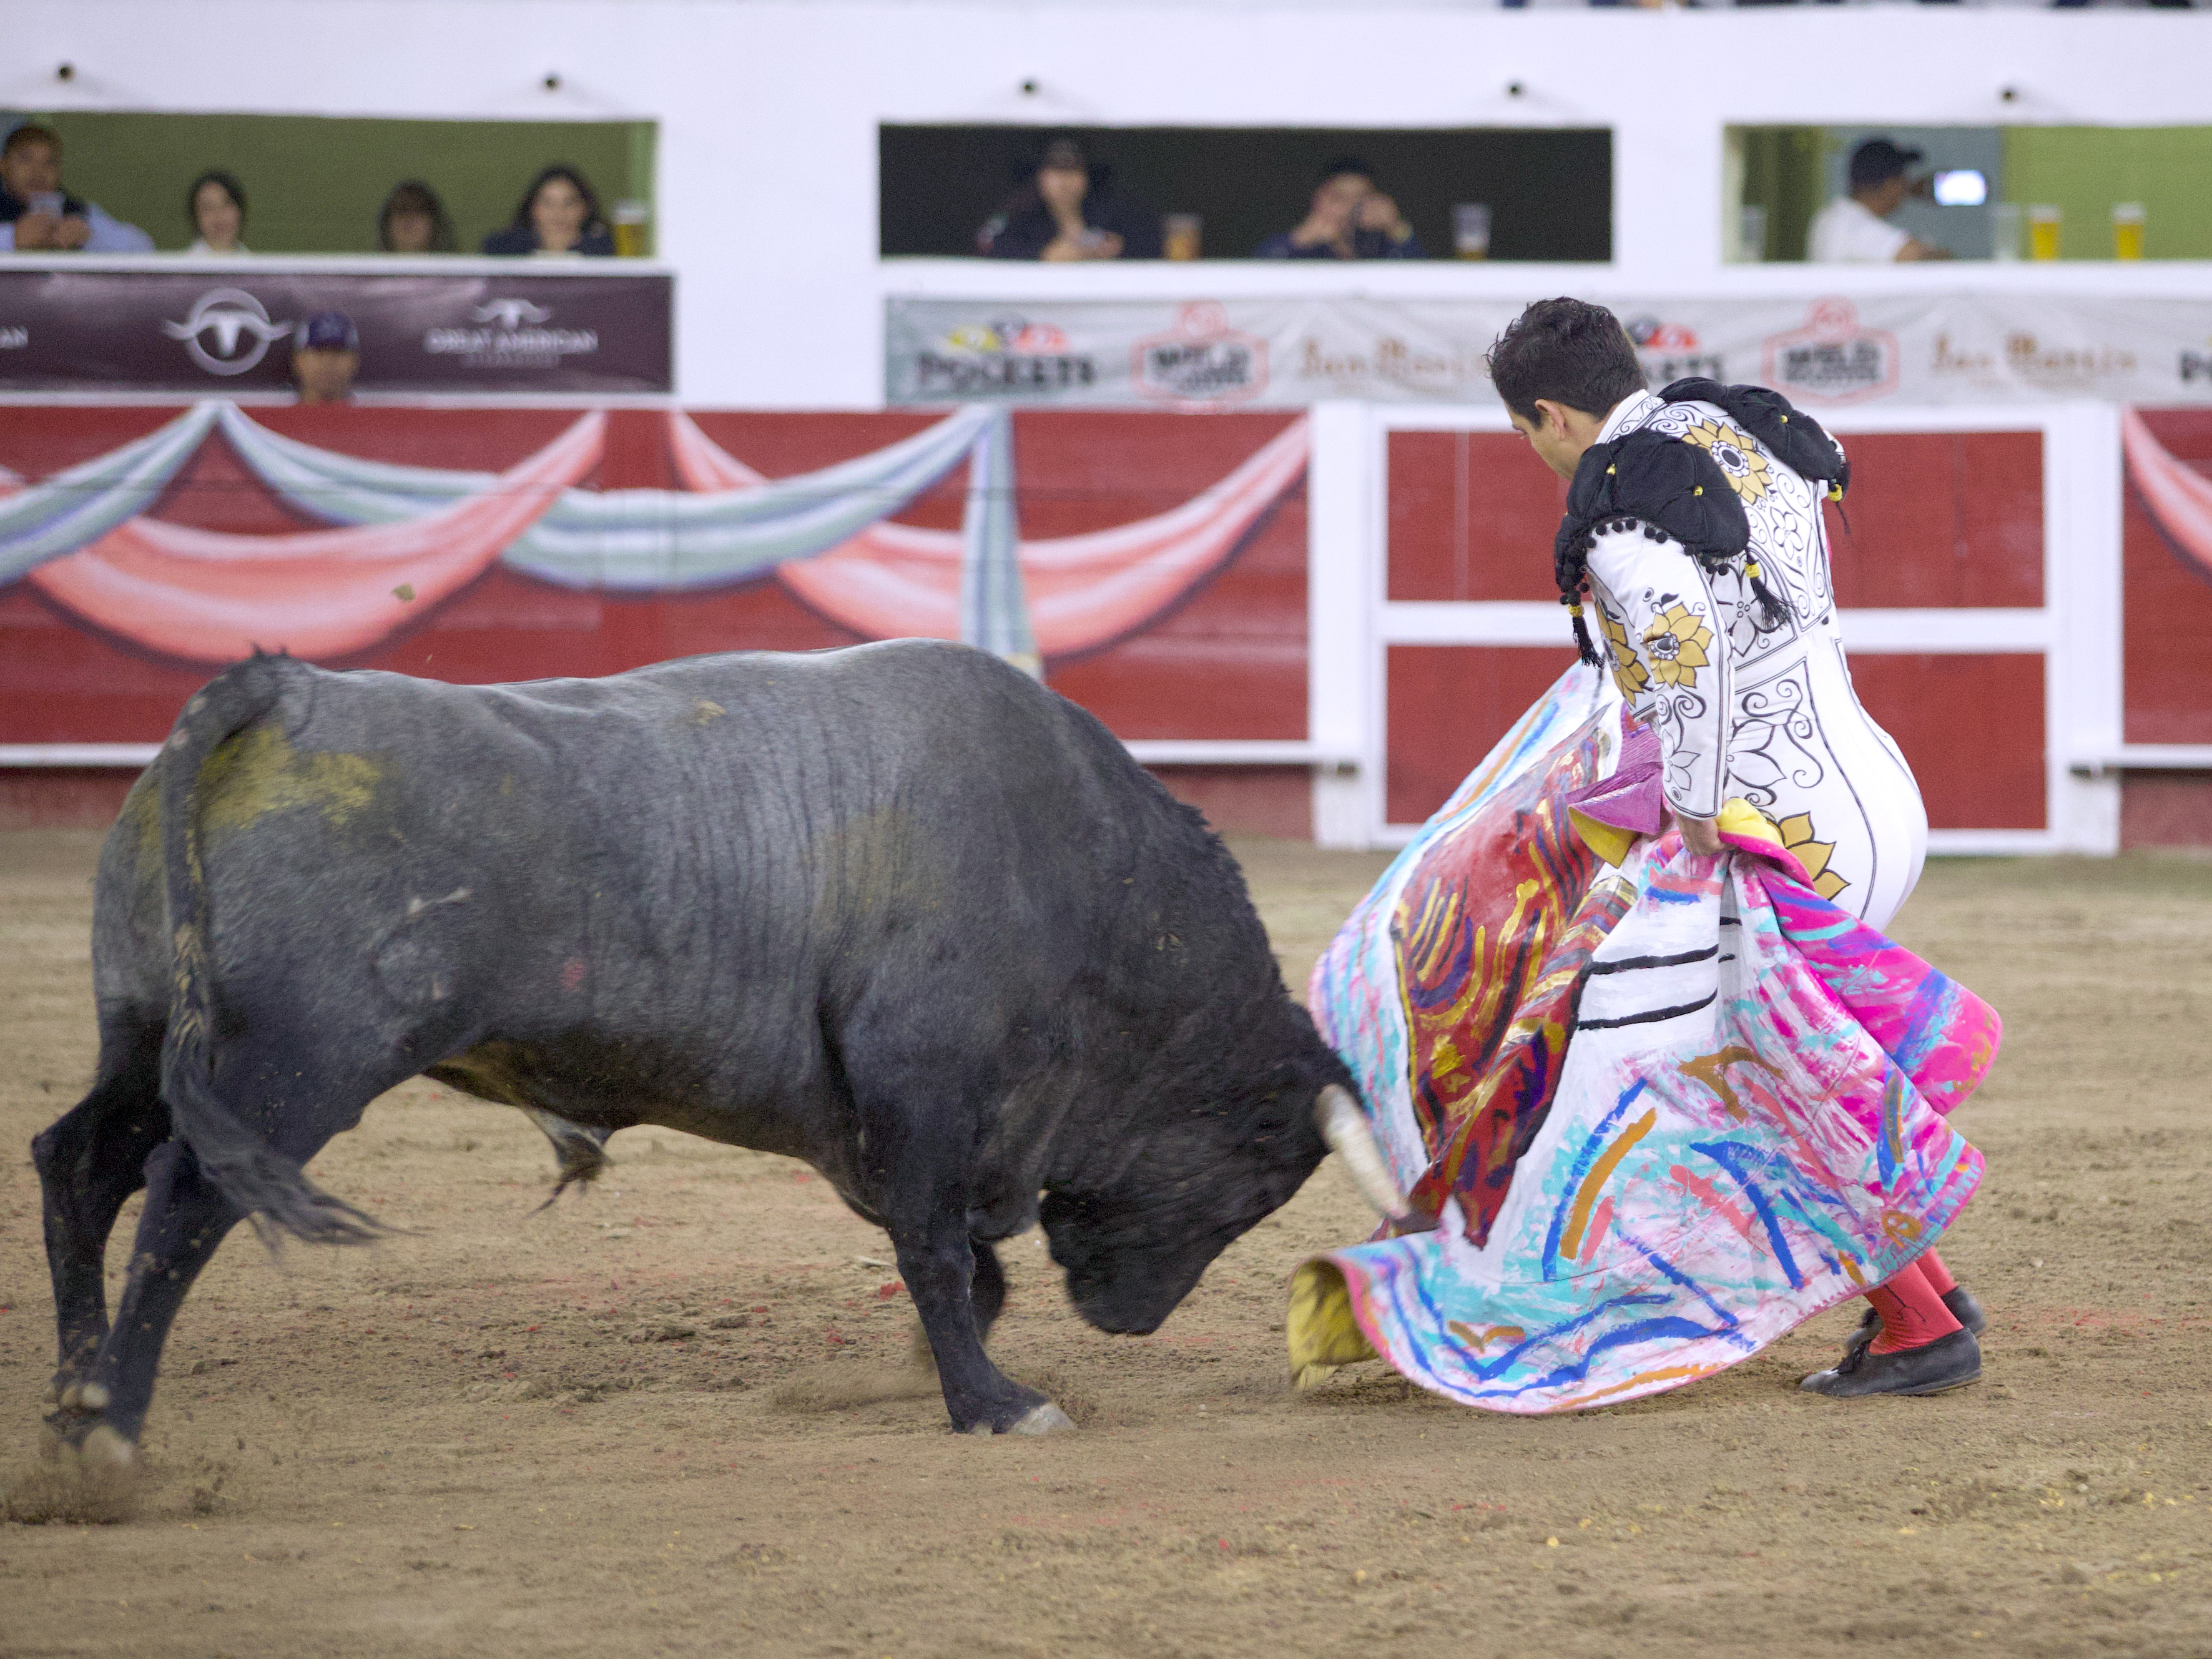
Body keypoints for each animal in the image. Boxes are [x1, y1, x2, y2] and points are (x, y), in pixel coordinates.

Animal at [39, 641, 1362, 1450]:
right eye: (1255, 1172)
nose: (1131, 1322)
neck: (1093, 878)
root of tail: (285, 693)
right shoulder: (923, 1093)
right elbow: (940, 1257)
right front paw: (990, 1404)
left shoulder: (885, 1126)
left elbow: (958, 1265)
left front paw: (917, 1373)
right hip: (291, 1068)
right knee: (184, 1197)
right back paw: (114, 1426)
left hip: (153, 1041)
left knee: (81, 1165)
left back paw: (74, 1390)